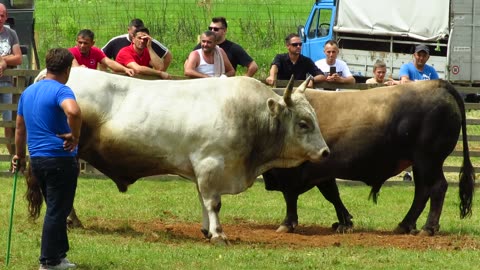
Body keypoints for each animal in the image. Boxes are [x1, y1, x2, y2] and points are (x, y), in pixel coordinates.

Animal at [31, 67, 330, 243]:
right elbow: (213, 203)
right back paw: (71, 220)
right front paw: (218, 234)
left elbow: (203, 200)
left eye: (314, 118)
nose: (325, 152)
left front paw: (206, 230)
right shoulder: (210, 164)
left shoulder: (202, 170)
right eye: (304, 123)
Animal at [264, 79, 474, 235]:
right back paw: (404, 225)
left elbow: (291, 196)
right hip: (420, 163)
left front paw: (287, 223)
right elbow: (332, 195)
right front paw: (344, 222)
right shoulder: (322, 171)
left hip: (428, 160)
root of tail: (437, 83)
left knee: (437, 187)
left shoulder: (292, 173)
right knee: (422, 191)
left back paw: (428, 228)